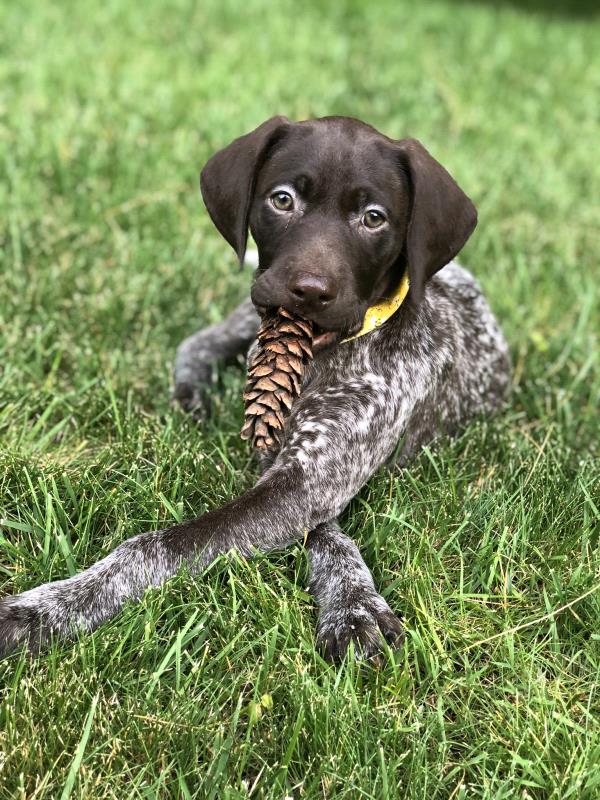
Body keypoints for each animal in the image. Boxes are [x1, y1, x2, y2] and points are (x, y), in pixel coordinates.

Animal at [0, 115, 510, 660]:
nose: (309, 290)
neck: (322, 360)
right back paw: (191, 397)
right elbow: (326, 537)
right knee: (199, 342)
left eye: (373, 218)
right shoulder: (284, 466)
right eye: (282, 200)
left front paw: (42, 611)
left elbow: (155, 546)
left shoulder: (307, 481)